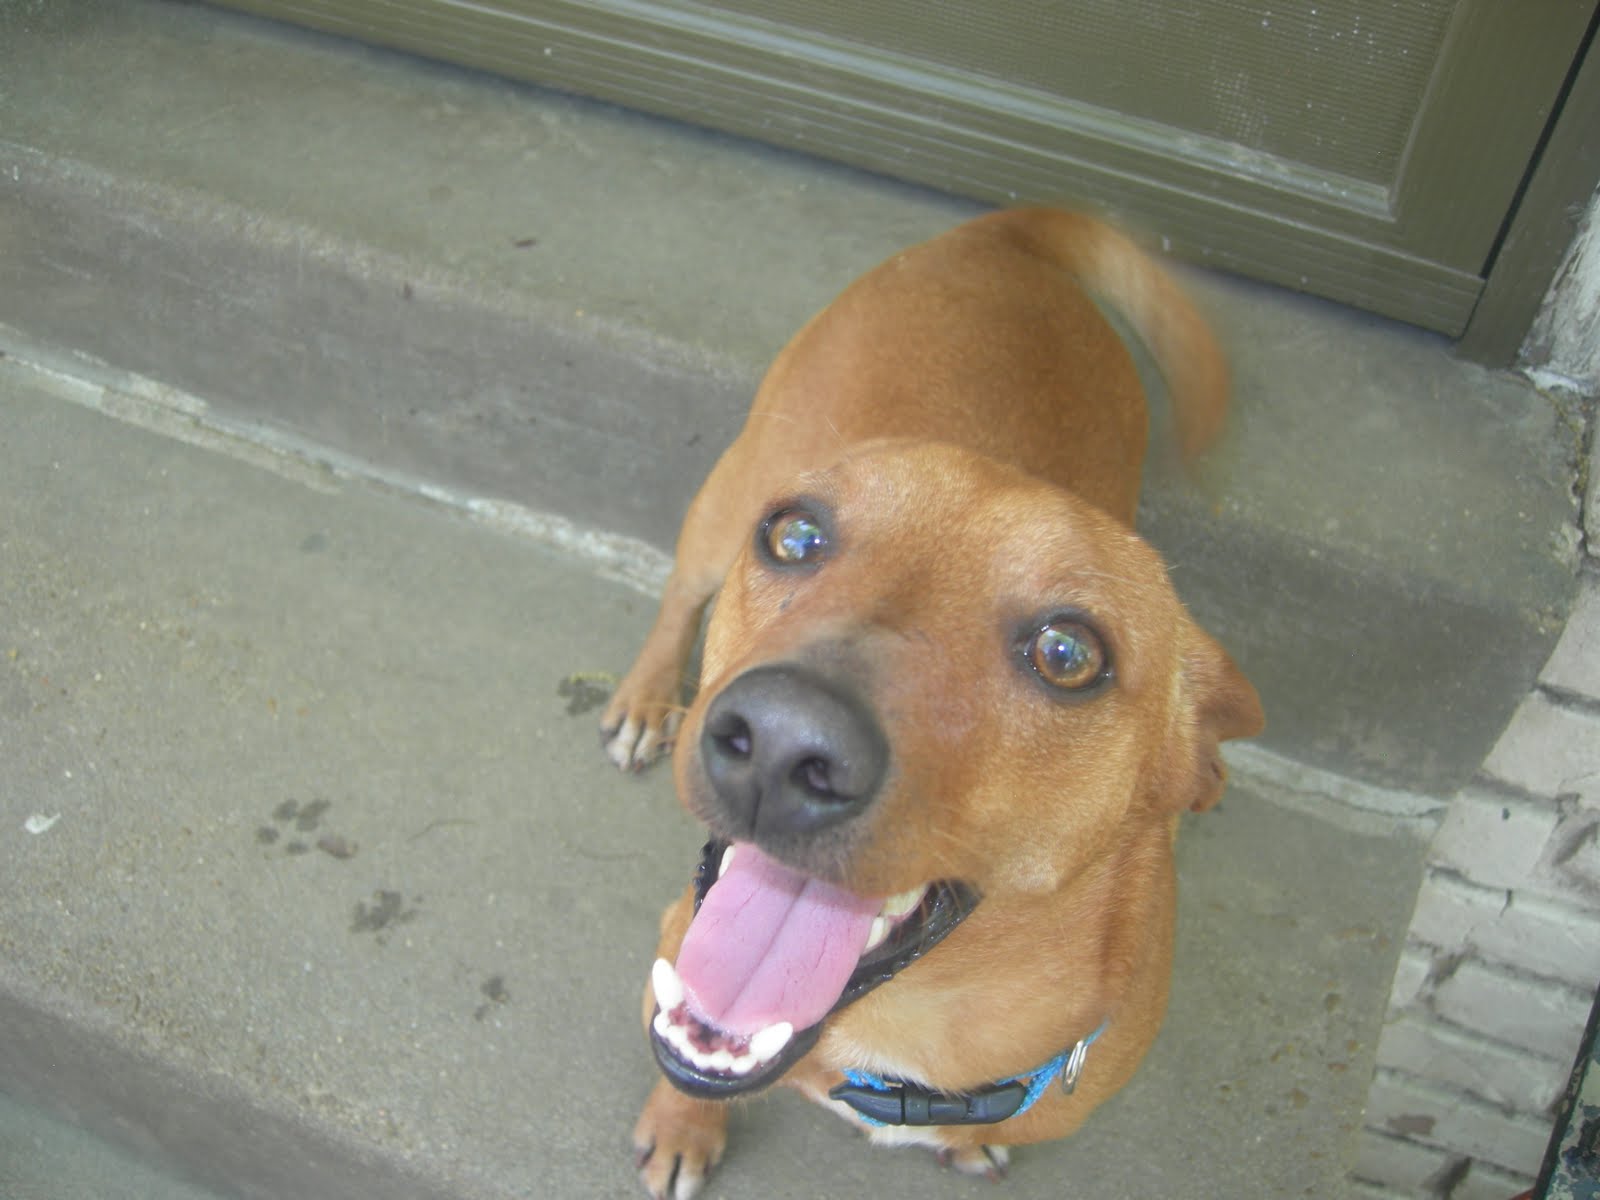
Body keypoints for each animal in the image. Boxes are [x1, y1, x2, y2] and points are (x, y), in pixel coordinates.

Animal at [600, 209, 1264, 1198]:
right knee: (683, 591)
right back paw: (647, 695)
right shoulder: (678, 951)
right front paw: (683, 1127)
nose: (782, 744)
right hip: (727, 498)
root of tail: (1007, 234)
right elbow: (686, 1073)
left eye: (1069, 655)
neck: (900, 1036)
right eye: (795, 536)